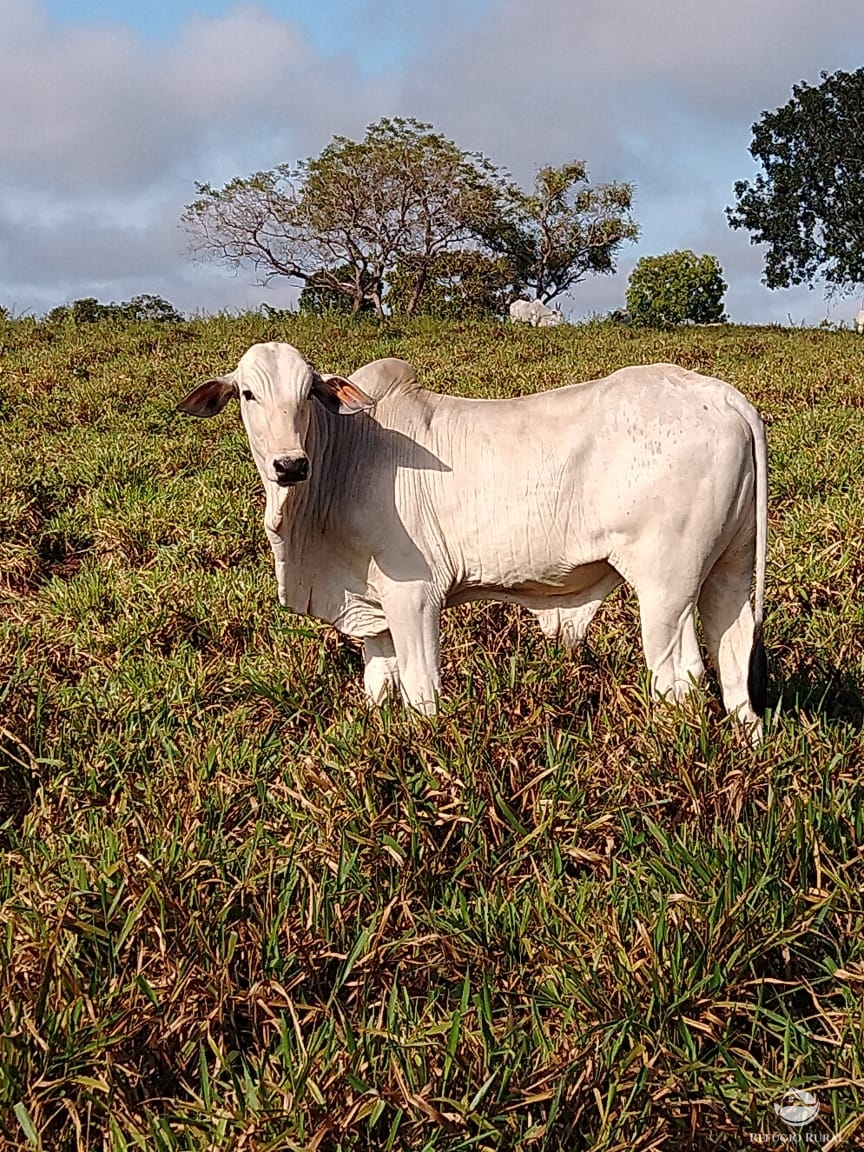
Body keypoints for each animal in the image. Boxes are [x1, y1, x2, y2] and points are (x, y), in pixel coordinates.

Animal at [177, 343, 769, 737]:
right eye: (248, 394)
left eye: (307, 394)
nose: (289, 464)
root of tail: (724, 395)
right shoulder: (371, 612)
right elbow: (378, 687)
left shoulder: (414, 597)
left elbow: (421, 690)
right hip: (729, 570)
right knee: (735, 655)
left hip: (666, 587)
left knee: (681, 674)